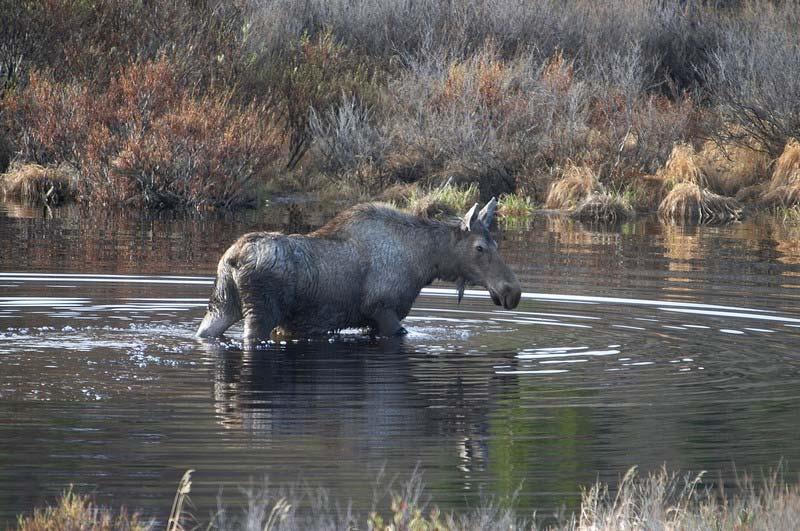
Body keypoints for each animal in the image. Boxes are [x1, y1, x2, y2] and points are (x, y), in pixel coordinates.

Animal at [198, 198, 524, 344]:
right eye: (480, 247)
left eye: (496, 243)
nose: (513, 292)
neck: (426, 263)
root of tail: (233, 259)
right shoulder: (383, 310)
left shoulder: (373, 321)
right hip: (261, 312)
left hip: (223, 303)